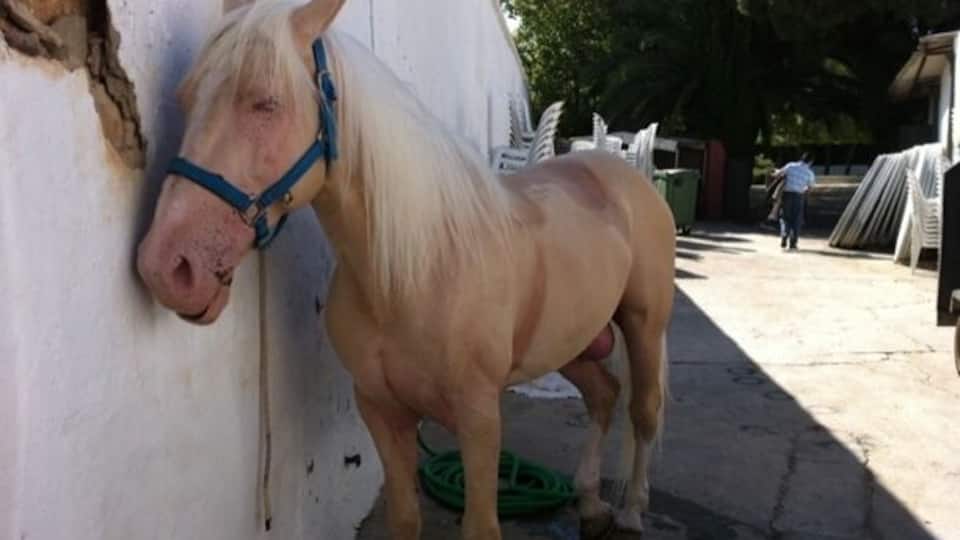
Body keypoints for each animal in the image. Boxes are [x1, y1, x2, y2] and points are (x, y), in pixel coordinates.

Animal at [136, 1, 676, 538]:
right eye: (185, 98)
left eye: (265, 103)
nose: (167, 265)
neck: (414, 272)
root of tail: (622, 176)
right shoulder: (380, 408)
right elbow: (404, 516)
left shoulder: (480, 418)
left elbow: (481, 525)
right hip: (571, 342)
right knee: (603, 397)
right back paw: (590, 504)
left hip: (644, 326)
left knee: (644, 410)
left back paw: (631, 510)